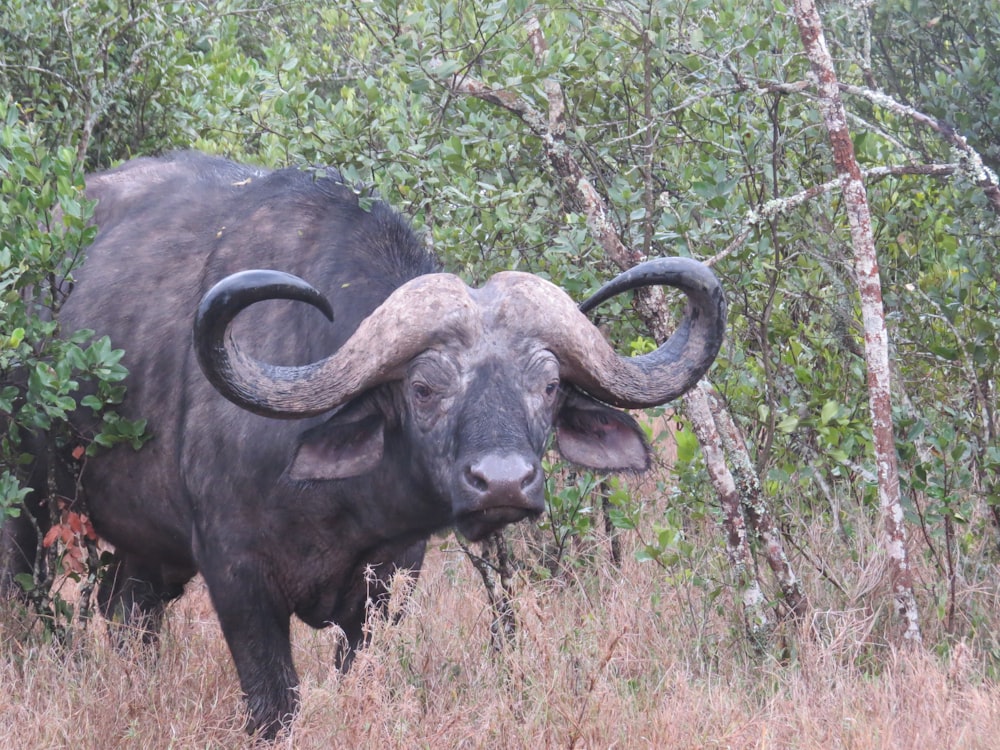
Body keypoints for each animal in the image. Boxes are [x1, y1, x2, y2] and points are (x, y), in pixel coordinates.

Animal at [0, 153, 720, 740]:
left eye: (547, 387)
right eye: (424, 388)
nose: (504, 483)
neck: (335, 504)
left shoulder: (390, 580)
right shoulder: (236, 577)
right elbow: (275, 703)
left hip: (146, 550)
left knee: (127, 611)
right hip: (29, 510)